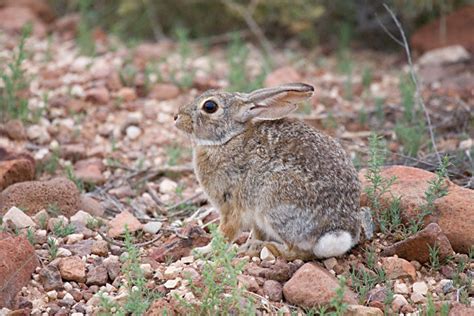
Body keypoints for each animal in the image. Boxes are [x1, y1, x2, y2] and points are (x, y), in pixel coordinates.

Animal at [176, 82, 362, 260]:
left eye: (210, 106)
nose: (177, 117)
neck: (226, 140)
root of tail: (337, 232)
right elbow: (256, 231)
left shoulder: (231, 205)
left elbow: (225, 234)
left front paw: (203, 251)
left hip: (274, 199)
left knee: (300, 252)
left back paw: (264, 248)